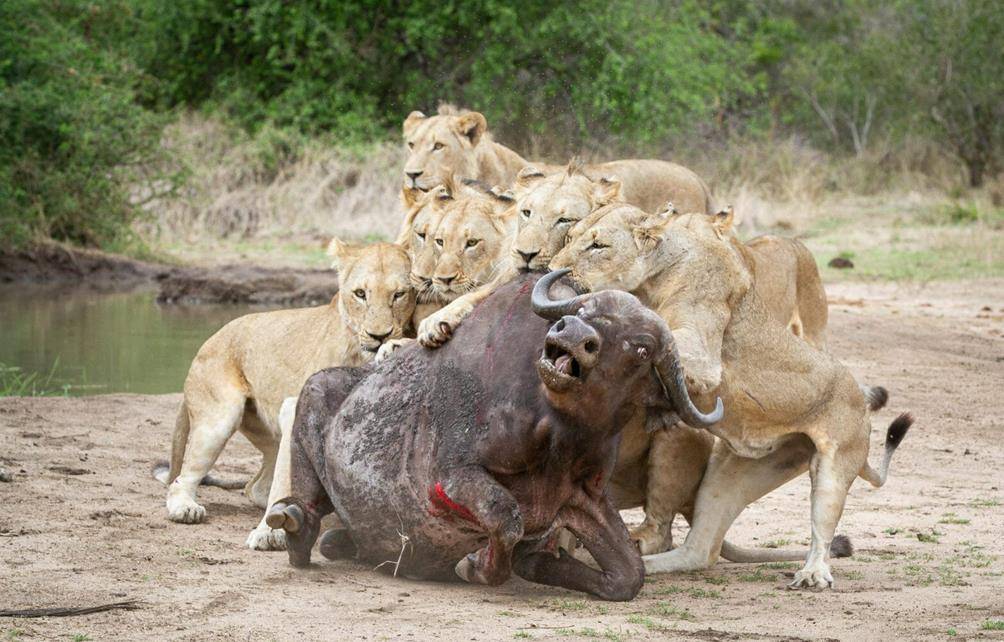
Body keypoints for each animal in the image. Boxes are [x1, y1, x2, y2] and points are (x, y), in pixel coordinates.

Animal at [154, 239, 413, 538]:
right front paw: (269, 535)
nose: (379, 336)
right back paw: (186, 508)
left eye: (399, 295)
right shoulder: (297, 408)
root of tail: (207, 342)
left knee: (255, 485)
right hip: (217, 422)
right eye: (361, 294)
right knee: (181, 480)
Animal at [267, 269, 722, 598]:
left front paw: (536, 563)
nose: (572, 332)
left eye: (641, 347)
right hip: (317, 388)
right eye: (586, 311)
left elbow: (629, 576)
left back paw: (340, 539)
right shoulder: (453, 475)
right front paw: (474, 566)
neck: (558, 442)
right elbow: (506, 518)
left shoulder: (583, 497)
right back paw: (295, 522)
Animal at [550, 205, 911, 586]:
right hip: (727, 475)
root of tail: (861, 402)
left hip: (833, 470)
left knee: (821, 528)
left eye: (599, 246)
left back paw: (813, 574)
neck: (654, 276)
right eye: (570, 236)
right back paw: (635, 566)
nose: (551, 268)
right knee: (700, 551)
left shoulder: (704, 357)